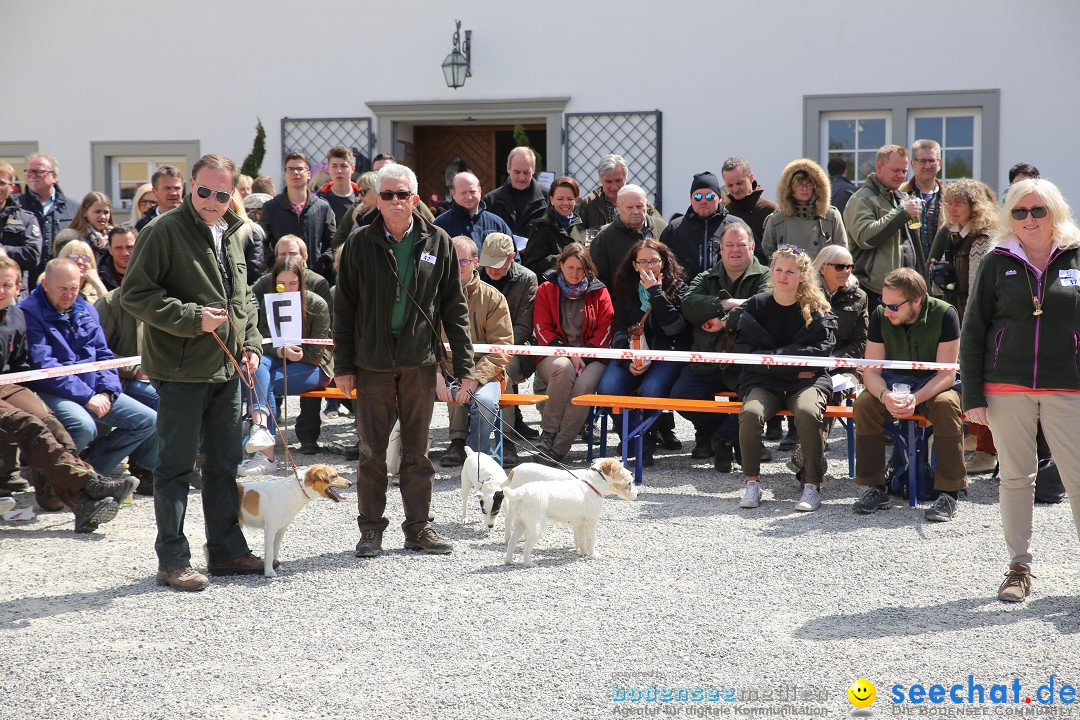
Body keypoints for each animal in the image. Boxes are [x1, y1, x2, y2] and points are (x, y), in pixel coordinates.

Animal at [501, 455, 635, 569]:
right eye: (629, 483)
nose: (637, 493)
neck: (592, 484)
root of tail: (523, 491)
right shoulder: (591, 522)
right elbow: (591, 540)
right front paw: (593, 555)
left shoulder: (580, 524)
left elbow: (582, 540)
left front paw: (583, 553)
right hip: (537, 528)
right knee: (526, 545)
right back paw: (529, 563)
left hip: (520, 524)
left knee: (512, 543)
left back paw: (509, 561)